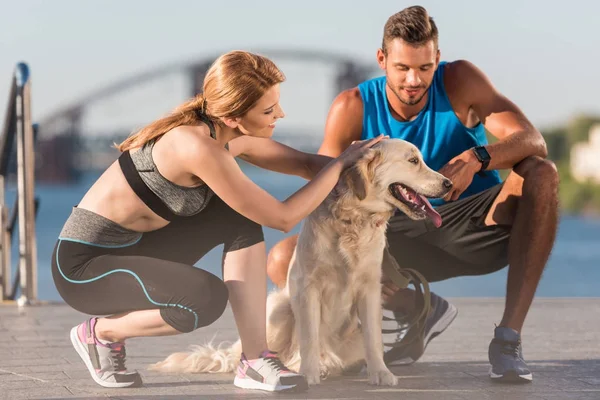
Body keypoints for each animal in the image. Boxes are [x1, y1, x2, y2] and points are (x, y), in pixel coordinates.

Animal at [149, 138, 450, 388]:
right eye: (413, 160)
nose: (448, 184)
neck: (353, 220)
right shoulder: (307, 287)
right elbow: (308, 336)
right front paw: (309, 374)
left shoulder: (370, 288)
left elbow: (374, 338)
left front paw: (381, 373)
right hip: (280, 307)